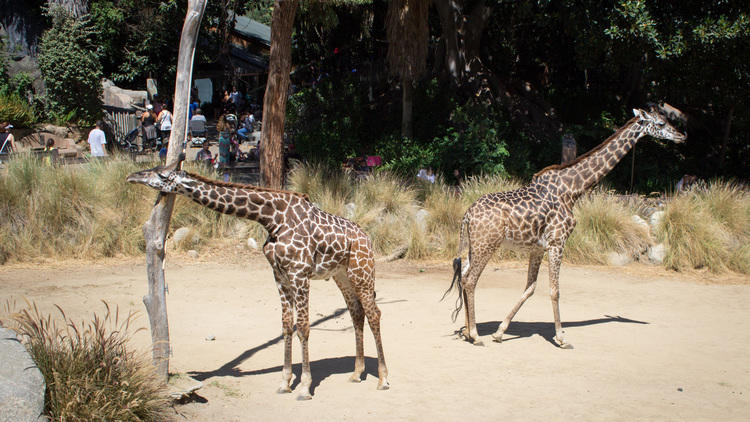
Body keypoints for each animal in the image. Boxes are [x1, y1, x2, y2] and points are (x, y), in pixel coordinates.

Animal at [126, 162, 390, 398]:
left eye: (161, 174)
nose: (132, 176)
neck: (272, 219)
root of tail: (367, 237)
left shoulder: (300, 273)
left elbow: (303, 327)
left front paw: (305, 387)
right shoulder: (280, 275)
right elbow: (287, 325)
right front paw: (284, 383)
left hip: (362, 272)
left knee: (374, 314)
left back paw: (383, 379)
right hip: (341, 275)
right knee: (357, 313)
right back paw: (356, 373)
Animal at [446, 107, 688, 348]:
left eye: (666, 119)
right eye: (660, 123)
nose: (681, 136)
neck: (572, 190)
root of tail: (467, 215)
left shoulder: (538, 248)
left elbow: (530, 288)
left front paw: (500, 332)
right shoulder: (558, 242)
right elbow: (555, 291)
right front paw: (561, 338)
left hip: (475, 246)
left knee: (464, 276)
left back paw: (467, 331)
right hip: (487, 244)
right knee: (470, 280)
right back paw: (476, 335)